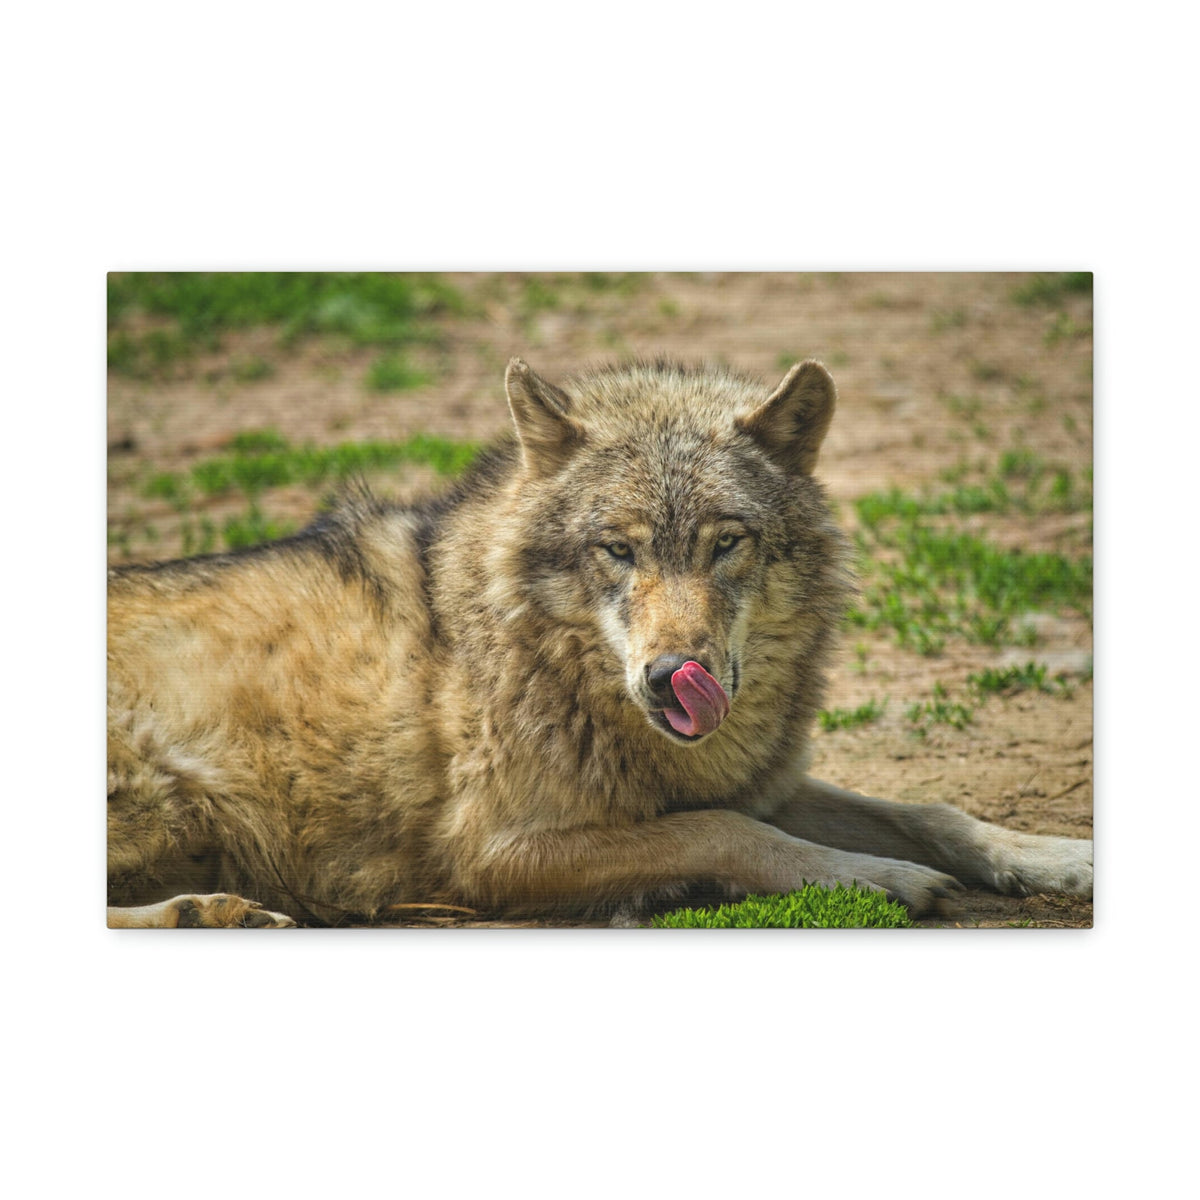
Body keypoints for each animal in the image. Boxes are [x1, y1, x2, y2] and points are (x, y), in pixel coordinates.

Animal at [107, 357, 1093, 927]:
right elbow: (724, 831)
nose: (671, 678)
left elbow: (933, 812)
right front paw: (873, 877)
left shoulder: (759, 779)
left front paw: (1055, 858)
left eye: (725, 542)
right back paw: (209, 913)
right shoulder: (492, 853)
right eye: (618, 550)